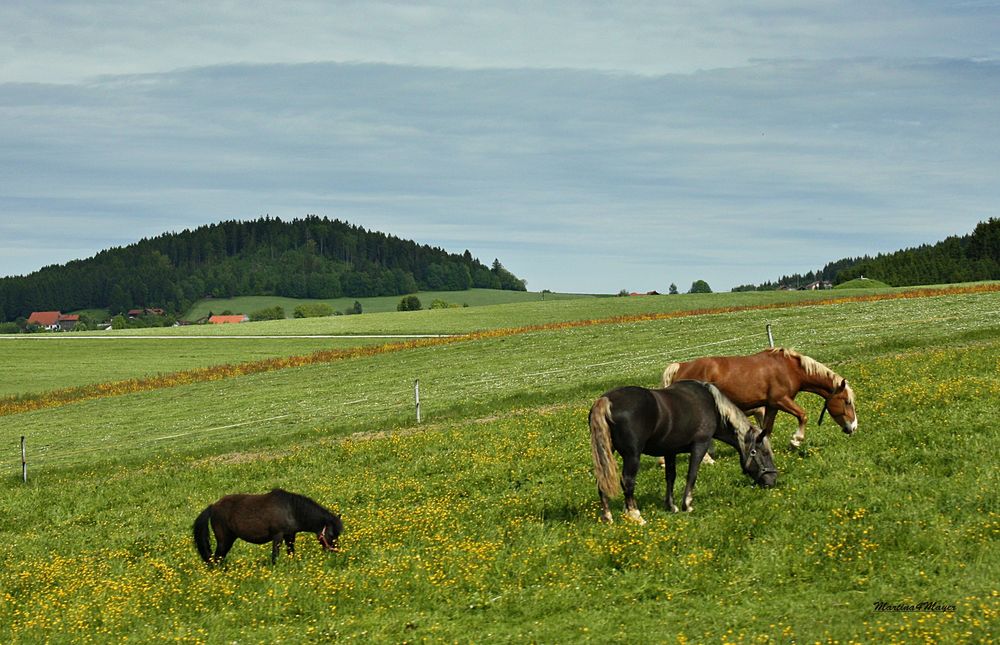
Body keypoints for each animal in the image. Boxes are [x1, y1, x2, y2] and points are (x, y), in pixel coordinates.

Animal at [194, 488, 344, 564]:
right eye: (331, 534)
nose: (336, 553)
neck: (290, 509)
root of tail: (213, 507)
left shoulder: (290, 535)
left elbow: (291, 552)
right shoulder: (278, 536)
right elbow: (275, 555)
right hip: (224, 540)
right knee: (216, 559)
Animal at [588, 378, 776, 524]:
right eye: (765, 453)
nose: (773, 480)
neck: (711, 405)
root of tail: (606, 400)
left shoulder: (669, 451)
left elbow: (670, 477)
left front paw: (671, 506)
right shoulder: (700, 445)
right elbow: (692, 474)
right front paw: (687, 505)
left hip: (606, 452)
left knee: (602, 479)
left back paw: (607, 516)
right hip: (632, 456)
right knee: (627, 481)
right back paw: (636, 515)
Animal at [664, 348, 860, 448]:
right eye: (847, 402)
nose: (854, 427)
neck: (789, 368)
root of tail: (681, 366)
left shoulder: (771, 406)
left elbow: (767, 428)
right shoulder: (781, 400)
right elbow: (802, 415)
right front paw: (796, 440)